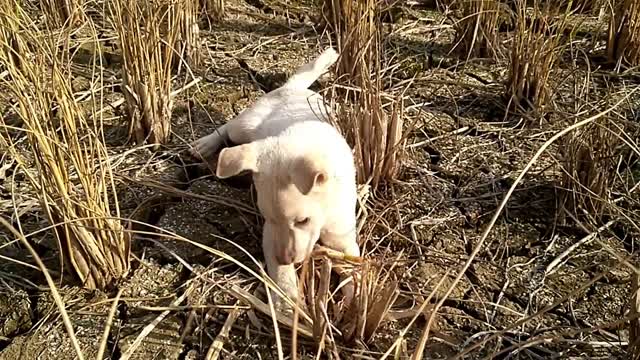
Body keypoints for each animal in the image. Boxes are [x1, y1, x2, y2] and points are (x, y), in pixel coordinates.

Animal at [190, 47, 360, 306]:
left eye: (303, 221)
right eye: (267, 217)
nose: (286, 259)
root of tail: (291, 87)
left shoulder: (344, 237)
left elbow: (353, 268)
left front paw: (356, 304)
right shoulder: (270, 235)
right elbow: (282, 278)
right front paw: (288, 303)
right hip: (244, 129)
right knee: (229, 127)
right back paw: (204, 145)